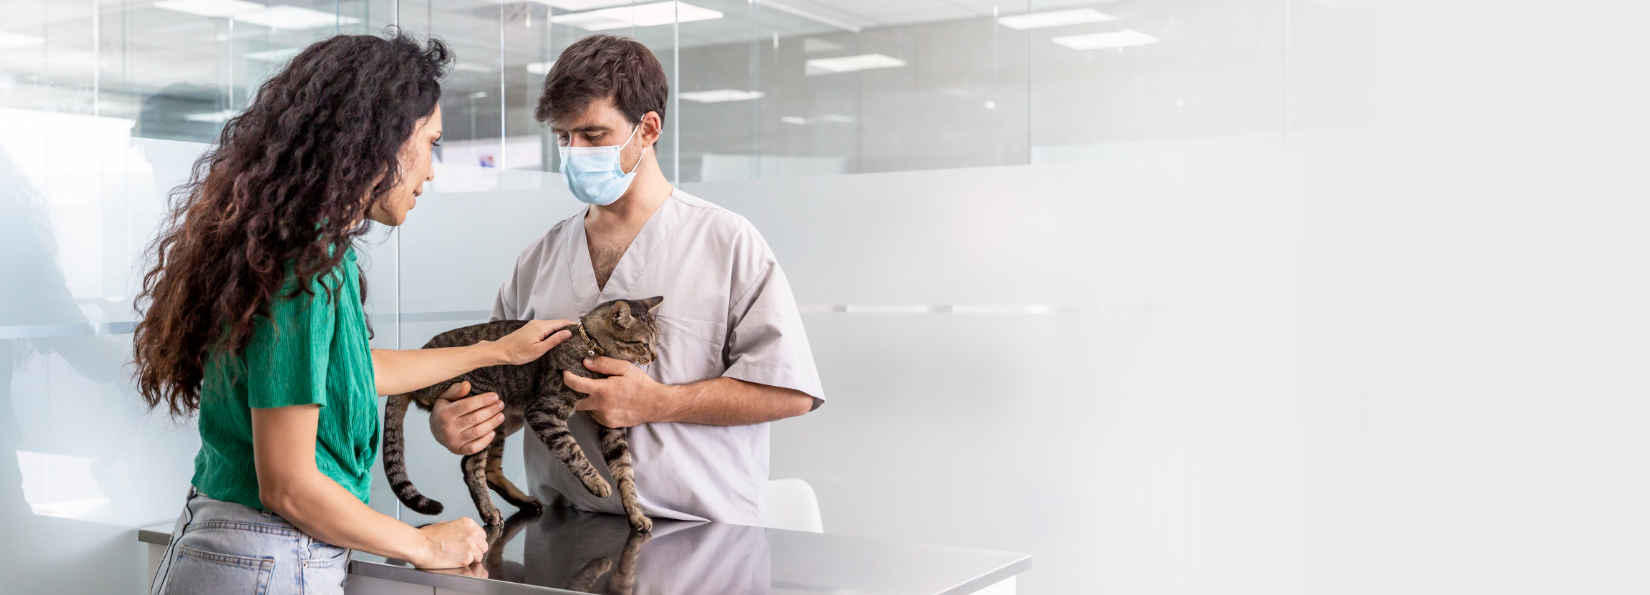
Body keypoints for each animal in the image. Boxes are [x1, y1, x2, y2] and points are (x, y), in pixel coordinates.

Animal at [384, 296, 663, 534]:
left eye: (656, 341)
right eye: (643, 343)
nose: (654, 356)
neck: (591, 347)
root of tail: (422, 352)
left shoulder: (611, 421)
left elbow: (625, 471)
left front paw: (635, 514)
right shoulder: (544, 412)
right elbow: (573, 450)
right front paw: (596, 481)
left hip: (497, 418)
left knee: (488, 469)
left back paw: (524, 501)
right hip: (482, 403)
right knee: (472, 466)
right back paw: (489, 510)